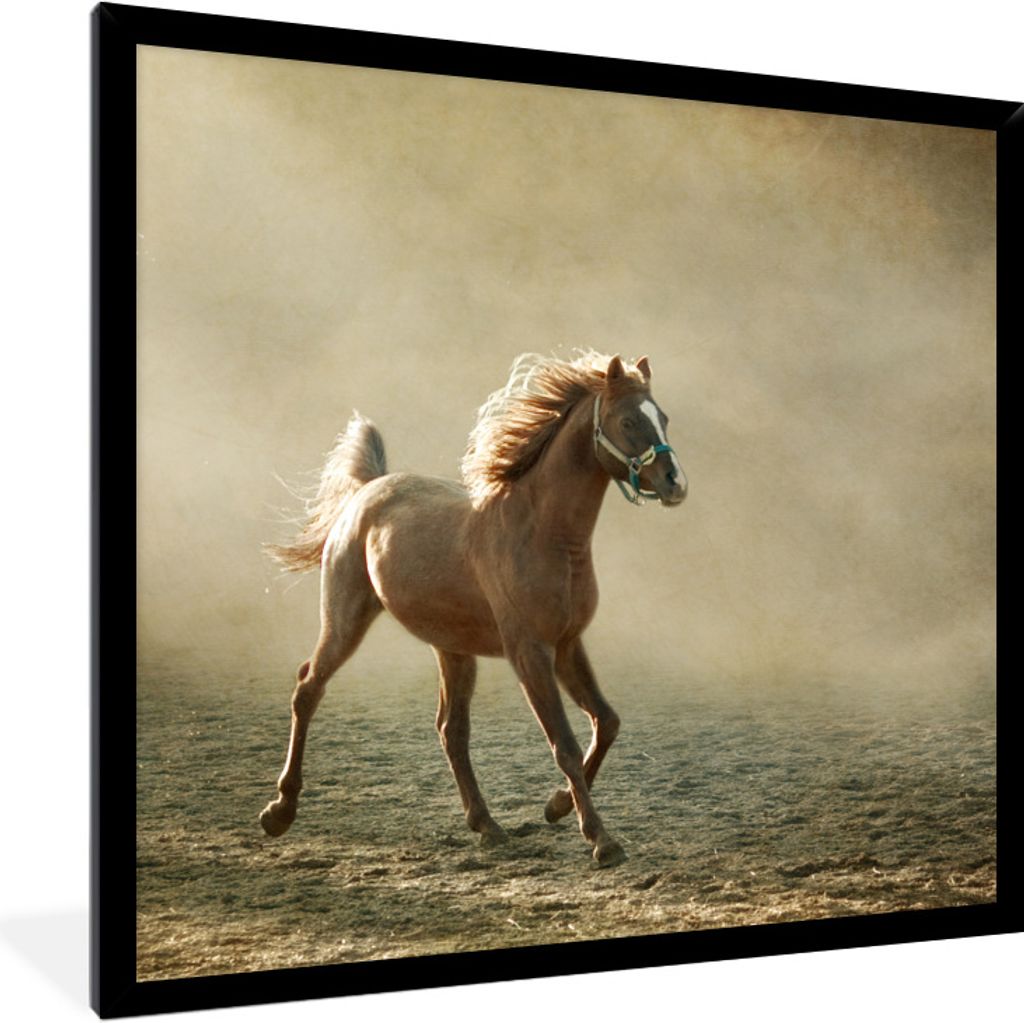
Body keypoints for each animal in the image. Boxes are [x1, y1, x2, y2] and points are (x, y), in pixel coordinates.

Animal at [259, 352, 687, 867]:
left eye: (662, 418)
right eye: (628, 421)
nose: (675, 484)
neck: (543, 535)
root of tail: (368, 491)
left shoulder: (567, 645)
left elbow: (607, 722)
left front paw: (556, 806)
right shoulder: (530, 653)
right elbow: (563, 744)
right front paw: (602, 840)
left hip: (452, 650)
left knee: (451, 730)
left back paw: (487, 825)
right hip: (345, 620)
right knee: (308, 688)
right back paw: (279, 811)